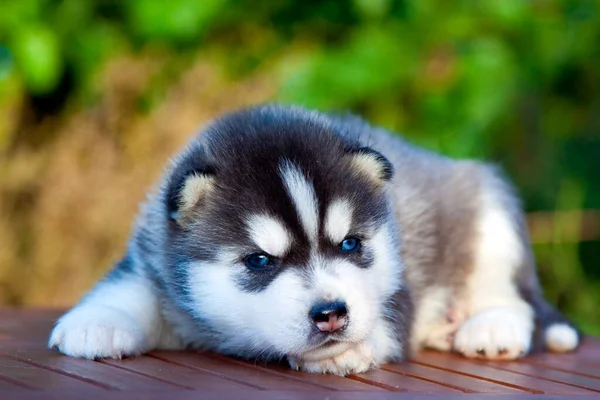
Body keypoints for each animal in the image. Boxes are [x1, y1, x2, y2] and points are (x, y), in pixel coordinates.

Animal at [49, 103, 580, 376]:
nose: (331, 315)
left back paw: (490, 326)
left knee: (510, 294)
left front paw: (349, 347)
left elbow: (390, 315)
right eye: (259, 261)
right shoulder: (155, 257)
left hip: (490, 212)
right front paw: (97, 321)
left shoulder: (399, 277)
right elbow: (127, 286)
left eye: (349, 245)